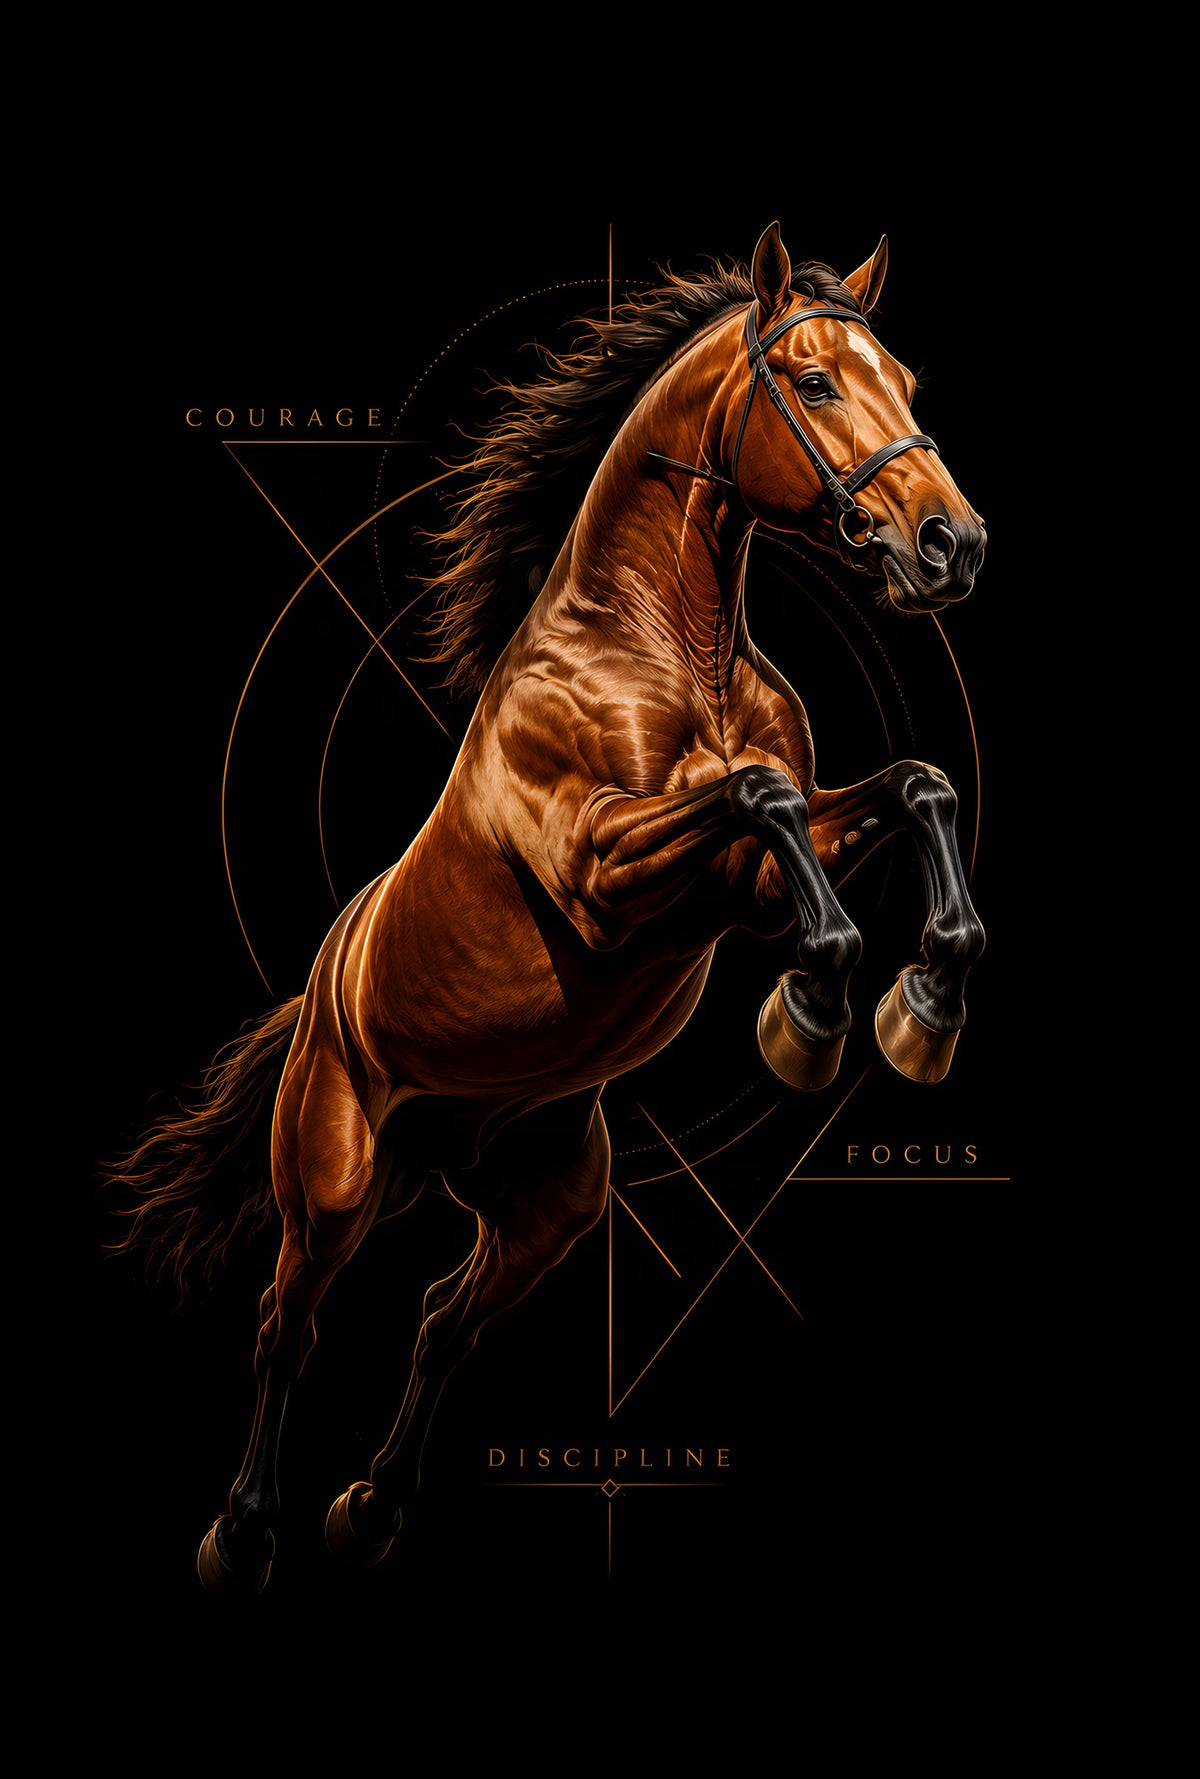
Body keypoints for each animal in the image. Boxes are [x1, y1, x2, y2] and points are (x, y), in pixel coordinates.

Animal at [112, 222, 986, 1592]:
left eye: (901, 376)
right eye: (814, 381)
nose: (954, 544)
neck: (670, 650)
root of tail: (323, 985)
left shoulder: (740, 886)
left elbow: (911, 784)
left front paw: (919, 1006)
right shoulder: (604, 877)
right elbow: (763, 798)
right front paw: (812, 1015)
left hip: (547, 1203)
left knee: (442, 1318)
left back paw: (374, 1509)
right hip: (334, 1178)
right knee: (286, 1323)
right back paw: (243, 1534)